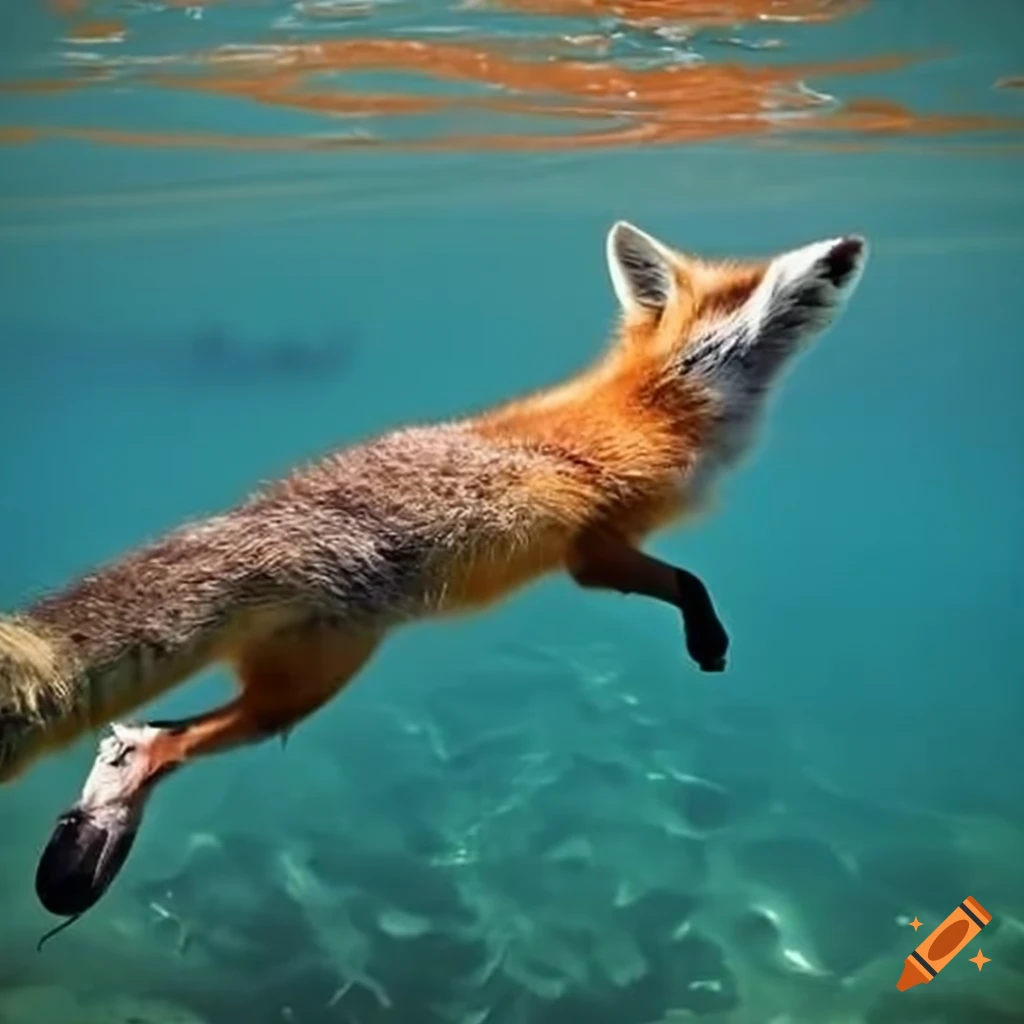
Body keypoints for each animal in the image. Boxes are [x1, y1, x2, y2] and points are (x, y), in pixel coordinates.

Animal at [1, 221, 867, 930]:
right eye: (764, 290)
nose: (849, 247)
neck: (656, 407)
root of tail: (257, 521)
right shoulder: (594, 550)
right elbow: (688, 582)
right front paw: (706, 639)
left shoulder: (598, 552)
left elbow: (686, 580)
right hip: (318, 680)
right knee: (158, 742)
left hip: (296, 681)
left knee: (135, 735)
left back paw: (87, 838)